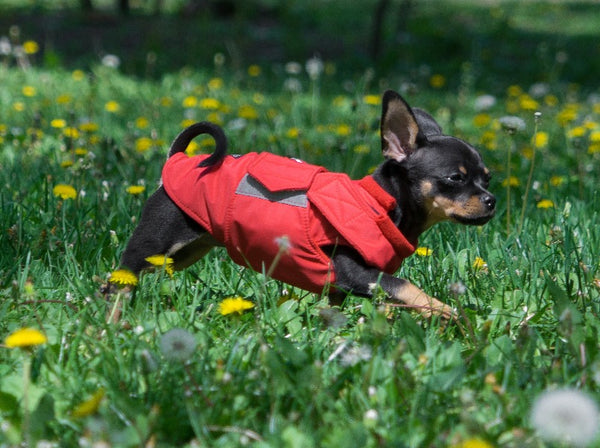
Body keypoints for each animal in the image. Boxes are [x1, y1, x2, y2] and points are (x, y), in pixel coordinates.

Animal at [116, 90, 492, 318]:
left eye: (487, 179)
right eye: (455, 178)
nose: (492, 200)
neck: (381, 203)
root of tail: (177, 160)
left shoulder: (340, 288)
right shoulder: (358, 273)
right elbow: (410, 289)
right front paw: (449, 315)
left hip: (185, 251)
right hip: (153, 243)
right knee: (118, 281)